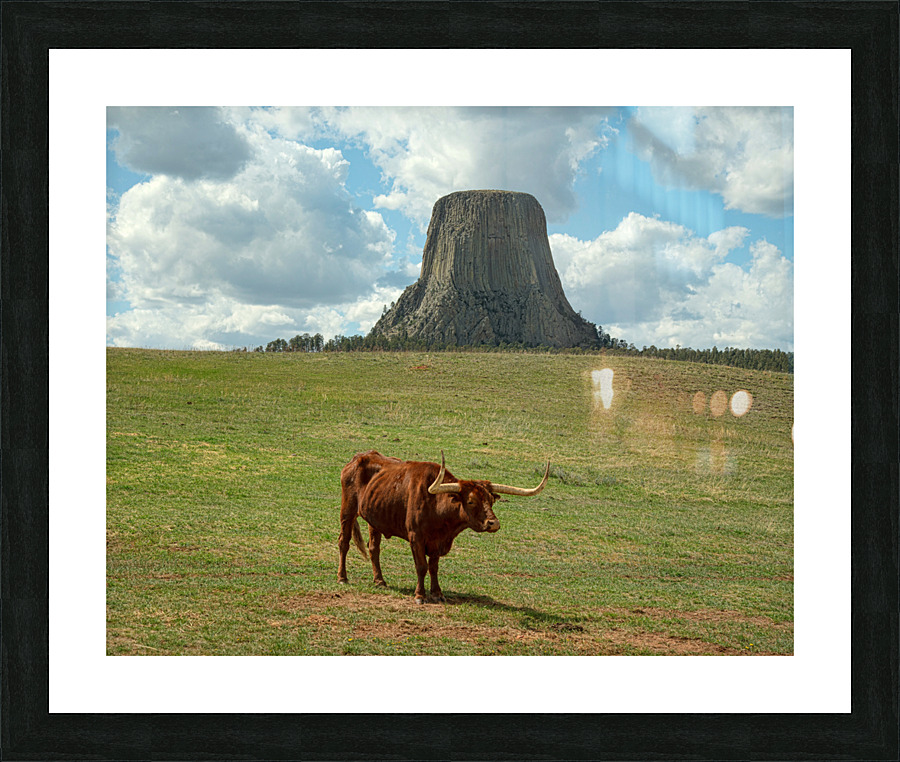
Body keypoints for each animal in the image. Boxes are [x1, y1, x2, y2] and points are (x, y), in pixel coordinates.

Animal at [337, 450, 549, 603]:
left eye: (491, 500)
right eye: (471, 501)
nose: (493, 523)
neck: (436, 505)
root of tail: (358, 458)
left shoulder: (437, 541)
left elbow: (434, 567)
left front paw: (437, 593)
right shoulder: (416, 537)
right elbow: (421, 566)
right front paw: (420, 595)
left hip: (375, 519)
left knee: (374, 549)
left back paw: (380, 581)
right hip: (348, 510)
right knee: (344, 542)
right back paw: (342, 577)